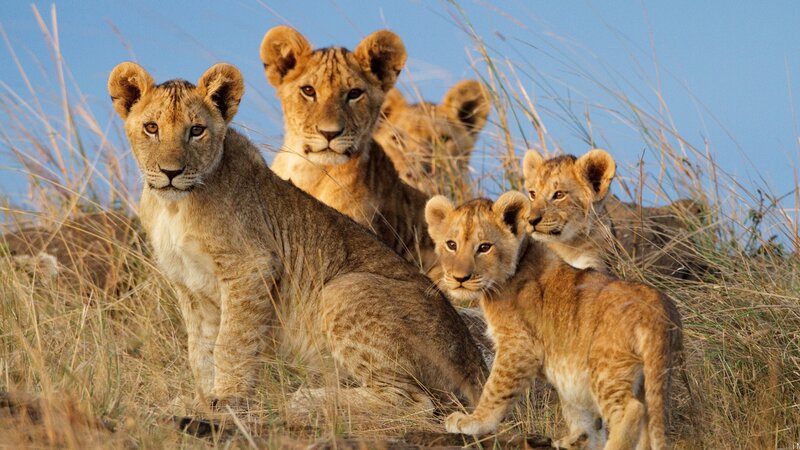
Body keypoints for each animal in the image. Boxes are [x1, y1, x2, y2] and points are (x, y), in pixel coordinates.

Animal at [107, 62, 486, 419]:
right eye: (151, 128)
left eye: (196, 130)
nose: (171, 172)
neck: (174, 206)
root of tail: (476, 364)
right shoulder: (189, 286)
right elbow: (200, 350)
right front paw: (200, 400)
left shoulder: (252, 266)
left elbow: (231, 341)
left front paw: (228, 399)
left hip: (342, 289)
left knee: (414, 402)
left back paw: (308, 401)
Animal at [425, 192, 683, 450]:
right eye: (451, 245)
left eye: (484, 247)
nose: (459, 278)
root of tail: (657, 305)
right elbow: (579, 415)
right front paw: (577, 439)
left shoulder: (519, 346)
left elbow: (495, 388)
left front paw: (474, 421)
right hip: (650, 377)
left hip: (606, 367)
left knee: (631, 410)